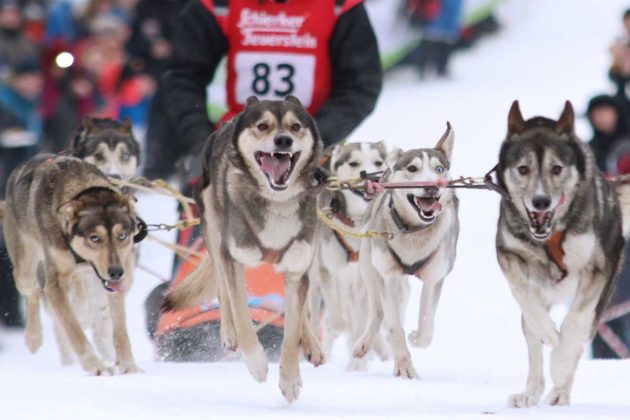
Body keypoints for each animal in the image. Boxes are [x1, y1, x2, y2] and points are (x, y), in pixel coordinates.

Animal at [0, 154, 142, 374]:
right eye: (94, 238)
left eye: (122, 235)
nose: (116, 272)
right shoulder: (55, 285)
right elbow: (74, 329)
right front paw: (96, 365)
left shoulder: (117, 283)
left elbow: (120, 331)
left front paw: (128, 365)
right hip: (25, 269)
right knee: (32, 292)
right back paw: (33, 337)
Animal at [163, 96, 326, 404]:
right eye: (262, 126)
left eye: (295, 126)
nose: (283, 140)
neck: (277, 202)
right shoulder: (233, 258)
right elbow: (241, 313)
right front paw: (256, 362)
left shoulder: (296, 269)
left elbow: (291, 331)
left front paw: (289, 378)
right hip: (214, 232)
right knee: (222, 290)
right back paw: (228, 332)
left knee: (304, 310)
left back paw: (311, 342)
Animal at [350, 123, 460, 378]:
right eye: (412, 168)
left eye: (439, 168)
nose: (432, 186)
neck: (414, 230)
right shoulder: (388, 276)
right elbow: (394, 326)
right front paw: (404, 366)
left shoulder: (434, 278)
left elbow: (427, 326)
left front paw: (416, 337)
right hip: (368, 264)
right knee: (378, 312)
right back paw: (363, 344)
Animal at [498, 101, 628, 406]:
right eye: (523, 169)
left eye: (556, 168)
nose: (541, 201)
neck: (551, 235)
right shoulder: (508, 253)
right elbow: (523, 293)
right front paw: (548, 332)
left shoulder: (595, 270)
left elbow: (575, 324)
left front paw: (560, 362)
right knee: (533, 342)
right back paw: (530, 392)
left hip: (602, 297)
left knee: (580, 333)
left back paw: (560, 390)